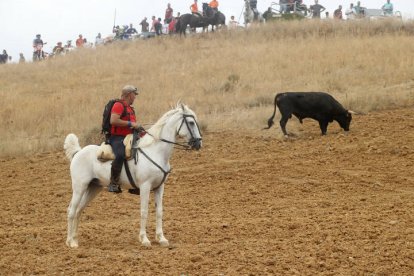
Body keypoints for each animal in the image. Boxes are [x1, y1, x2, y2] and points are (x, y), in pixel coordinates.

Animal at [62, 103, 202, 248]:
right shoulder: (145, 186)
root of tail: (78, 152)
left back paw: (74, 239)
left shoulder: (159, 187)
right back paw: (71, 242)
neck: (155, 151)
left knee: (78, 210)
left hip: (93, 188)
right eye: (191, 122)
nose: (198, 143)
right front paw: (144, 239)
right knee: (71, 210)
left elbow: (159, 212)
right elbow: (144, 211)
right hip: (79, 187)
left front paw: (161, 238)